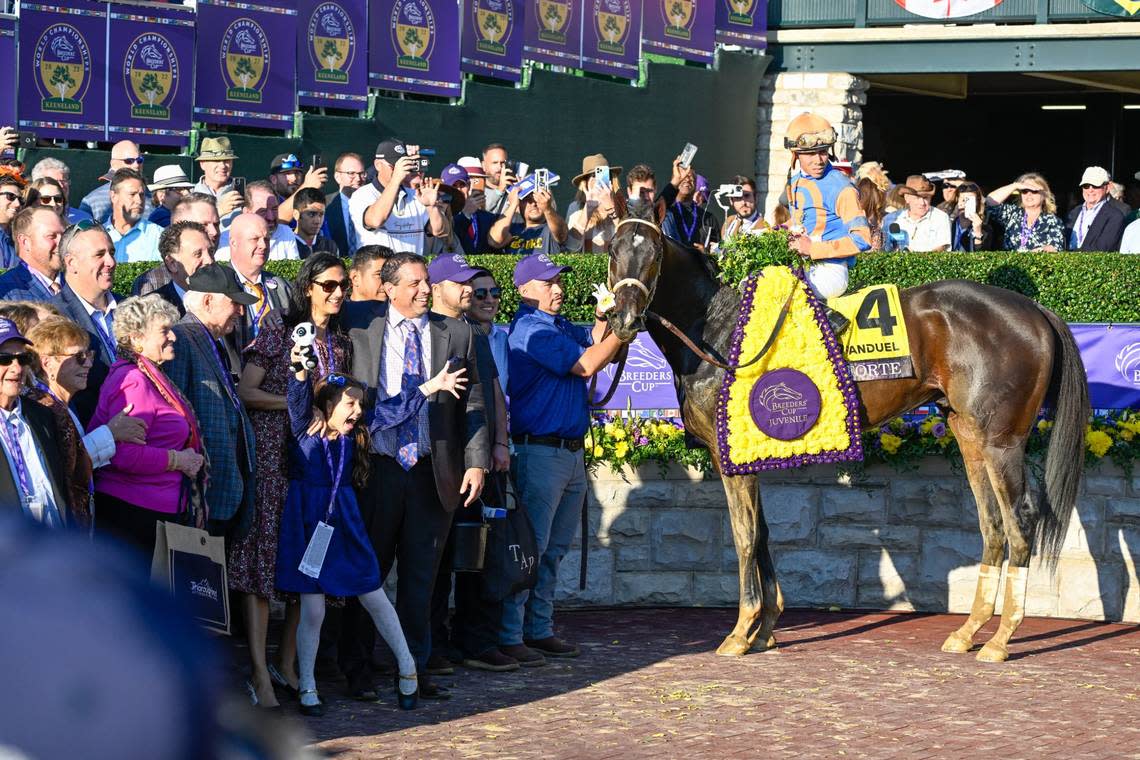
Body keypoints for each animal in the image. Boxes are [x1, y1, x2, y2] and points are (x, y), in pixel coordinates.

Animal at [601, 205, 1089, 660]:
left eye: (655, 253)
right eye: (612, 250)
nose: (624, 319)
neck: (720, 335)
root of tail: (1033, 310)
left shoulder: (731, 460)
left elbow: (744, 536)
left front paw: (741, 632)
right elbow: (762, 534)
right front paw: (766, 628)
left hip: (1001, 441)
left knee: (1020, 521)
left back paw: (1001, 639)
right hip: (969, 435)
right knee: (992, 524)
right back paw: (968, 632)